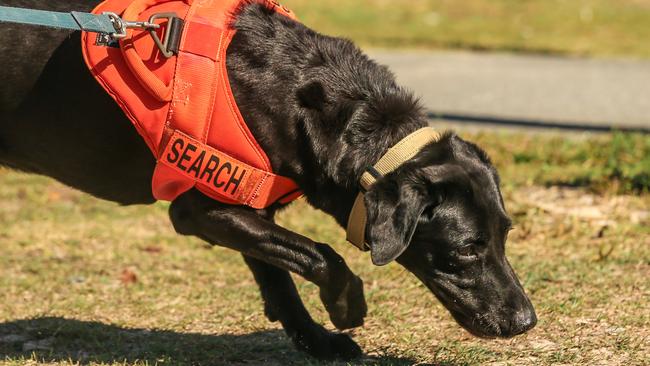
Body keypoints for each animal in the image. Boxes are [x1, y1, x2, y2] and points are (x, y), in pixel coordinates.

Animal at [0, 0, 536, 360]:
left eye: (505, 236)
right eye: (467, 249)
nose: (525, 320)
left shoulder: (246, 205)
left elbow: (279, 276)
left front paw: (315, 340)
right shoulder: (200, 208)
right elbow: (322, 255)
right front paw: (346, 308)